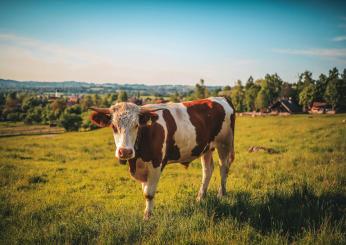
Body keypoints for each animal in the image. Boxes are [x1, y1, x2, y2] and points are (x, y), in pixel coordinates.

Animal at [89, 96, 235, 219]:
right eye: (113, 126)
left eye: (136, 125)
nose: (125, 152)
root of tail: (220, 98)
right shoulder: (142, 168)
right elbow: (145, 190)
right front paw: (147, 213)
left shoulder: (156, 164)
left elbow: (149, 193)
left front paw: (147, 217)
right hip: (206, 148)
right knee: (207, 170)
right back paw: (200, 198)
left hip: (224, 143)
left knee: (223, 168)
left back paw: (221, 195)